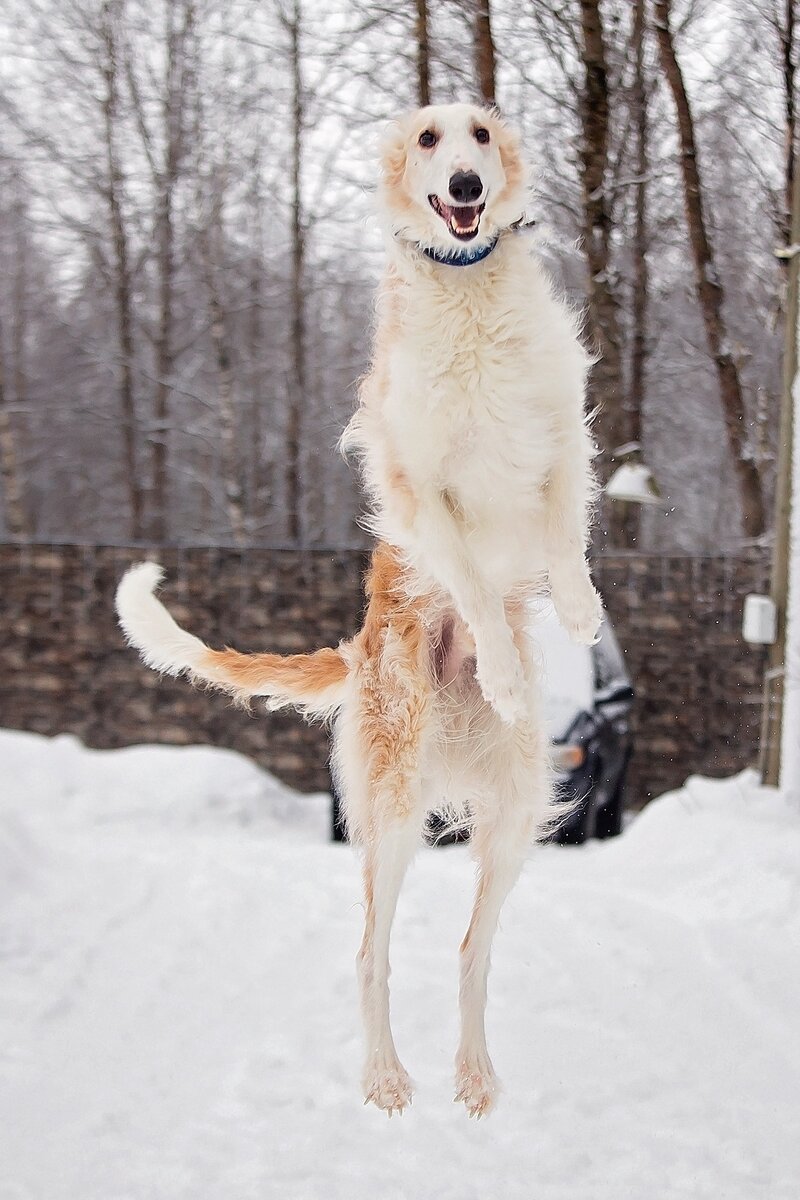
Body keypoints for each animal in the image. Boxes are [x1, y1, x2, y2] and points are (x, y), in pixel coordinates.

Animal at [115, 100, 597, 1113]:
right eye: (427, 139)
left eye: (481, 132)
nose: (465, 187)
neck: (467, 292)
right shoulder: (417, 487)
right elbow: (469, 578)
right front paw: (500, 667)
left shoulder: (559, 431)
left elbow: (564, 532)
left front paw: (579, 613)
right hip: (391, 811)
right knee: (373, 951)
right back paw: (384, 1076)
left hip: (512, 815)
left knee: (470, 952)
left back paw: (474, 1077)